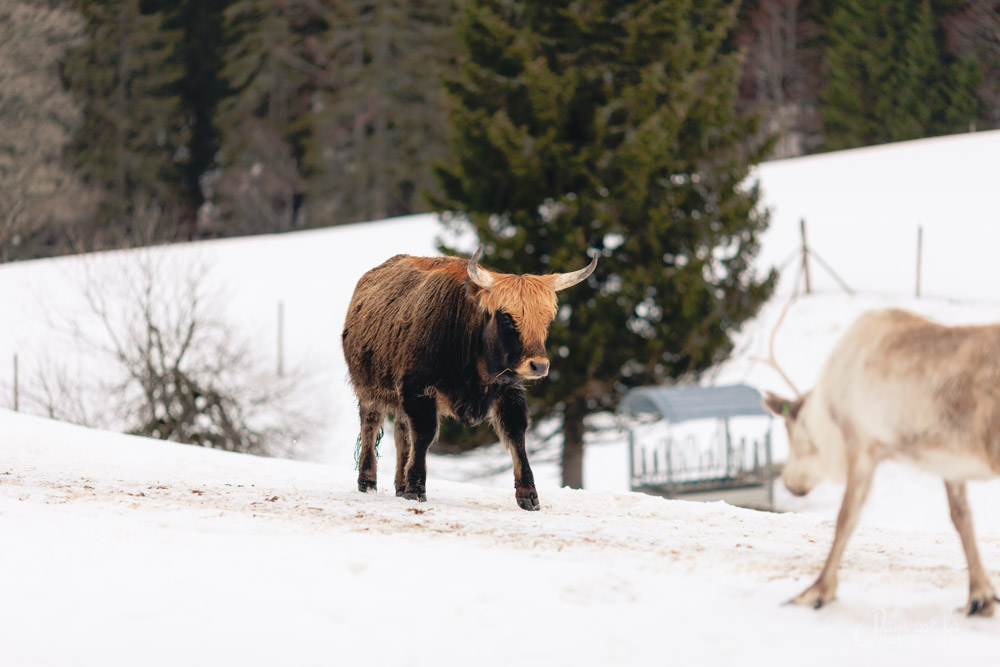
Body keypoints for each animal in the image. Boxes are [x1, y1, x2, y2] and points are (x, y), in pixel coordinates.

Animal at [340, 245, 596, 512]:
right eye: (506, 317)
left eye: (547, 319)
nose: (539, 365)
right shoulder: (418, 388)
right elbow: (424, 434)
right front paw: (416, 489)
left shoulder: (508, 389)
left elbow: (516, 434)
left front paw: (529, 495)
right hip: (369, 388)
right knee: (370, 426)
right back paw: (368, 482)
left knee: (402, 432)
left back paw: (400, 484)